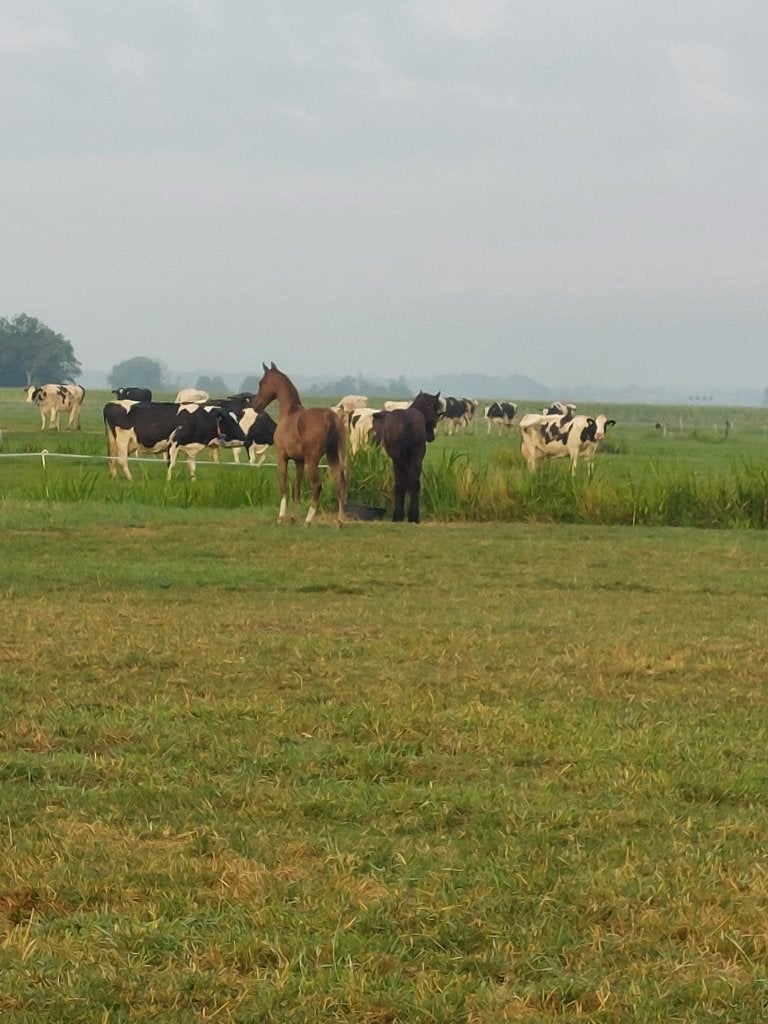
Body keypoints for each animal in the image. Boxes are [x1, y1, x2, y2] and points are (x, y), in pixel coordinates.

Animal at [250, 362, 347, 525]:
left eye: (261, 383)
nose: (256, 405)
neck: (289, 413)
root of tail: (330, 417)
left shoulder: (282, 457)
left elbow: (283, 484)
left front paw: (281, 517)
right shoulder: (299, 461)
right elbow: (297, 487)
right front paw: (293, 517)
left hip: (312, 461)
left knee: (316, 485)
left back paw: (308, 520)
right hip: (334, 457)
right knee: (340, 481)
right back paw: (339, 521)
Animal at [372, 391, 442, 523]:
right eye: (436, 410)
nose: (431, 436)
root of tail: (408, 421)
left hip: (400, 460)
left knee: (402, 482)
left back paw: (402, 515)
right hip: (413, 459)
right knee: (414, 483)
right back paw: (412, 516)